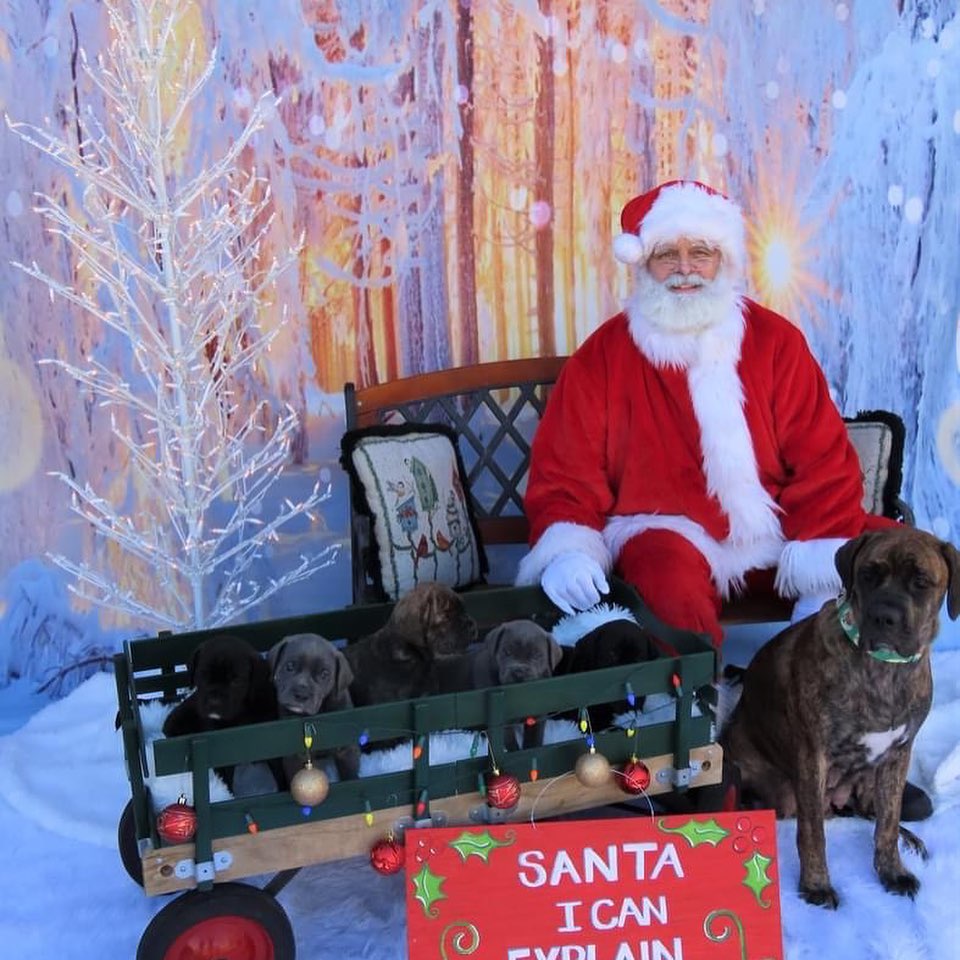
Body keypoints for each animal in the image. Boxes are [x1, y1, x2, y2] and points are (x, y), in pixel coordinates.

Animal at [161, 636, 280, 788]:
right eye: (203, 675)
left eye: (236, 680)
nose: (214, 701)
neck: (241, 714)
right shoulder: (220, 749)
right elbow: (225, 778)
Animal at [268, 632, 362, 784]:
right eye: (290, 666)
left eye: (324, 674)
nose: (301, 694)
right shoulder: (293, 757)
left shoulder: (346, 749)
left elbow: (350, 774)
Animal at [720, 524, 960, 908]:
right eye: (868, 574)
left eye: (921, 581)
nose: (885, 617)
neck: (882, 670)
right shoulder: (813, 756)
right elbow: (813, 832)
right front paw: (816, 885)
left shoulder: (898, 755)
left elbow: (887, 822)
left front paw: (893, 870)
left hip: (868, 779)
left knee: (873, 813)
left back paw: (910, 839)